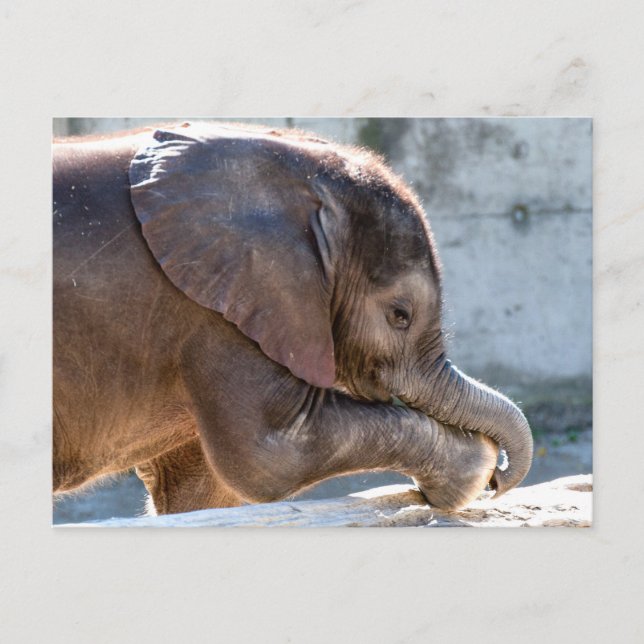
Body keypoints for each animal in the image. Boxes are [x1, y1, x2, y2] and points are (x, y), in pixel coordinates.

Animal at [53, 121, 533, 516]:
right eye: (400, 315)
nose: (500, 480)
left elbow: (201, 490)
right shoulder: (216, 310)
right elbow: (271, 456)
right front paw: (473, 468)